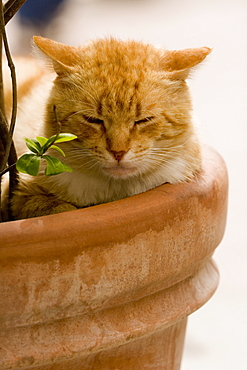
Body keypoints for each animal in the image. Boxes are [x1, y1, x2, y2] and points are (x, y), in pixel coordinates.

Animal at [6, 36, 210, 218]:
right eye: (93, 120)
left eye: (143, 120)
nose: (118, 153)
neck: (115, 192)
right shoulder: (20, 196)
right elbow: (60, 208)